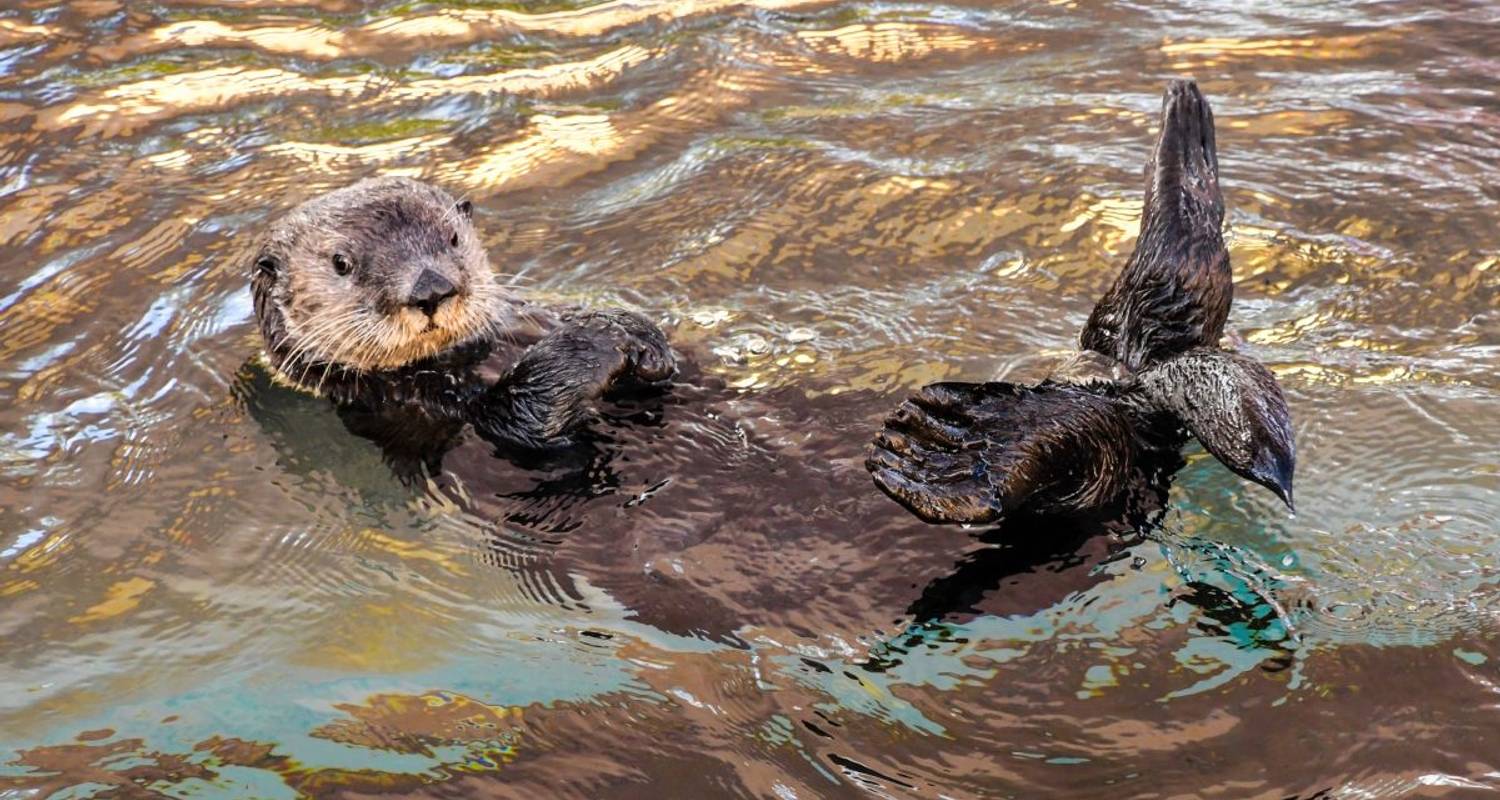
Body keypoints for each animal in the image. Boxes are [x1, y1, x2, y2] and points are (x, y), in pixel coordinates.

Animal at [250, 174, 675, 462]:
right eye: (341, 263)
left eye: (452, 238)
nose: (431, 289)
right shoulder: (422, 407)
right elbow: (524, 416)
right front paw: (596, 339)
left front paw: (635, 332)